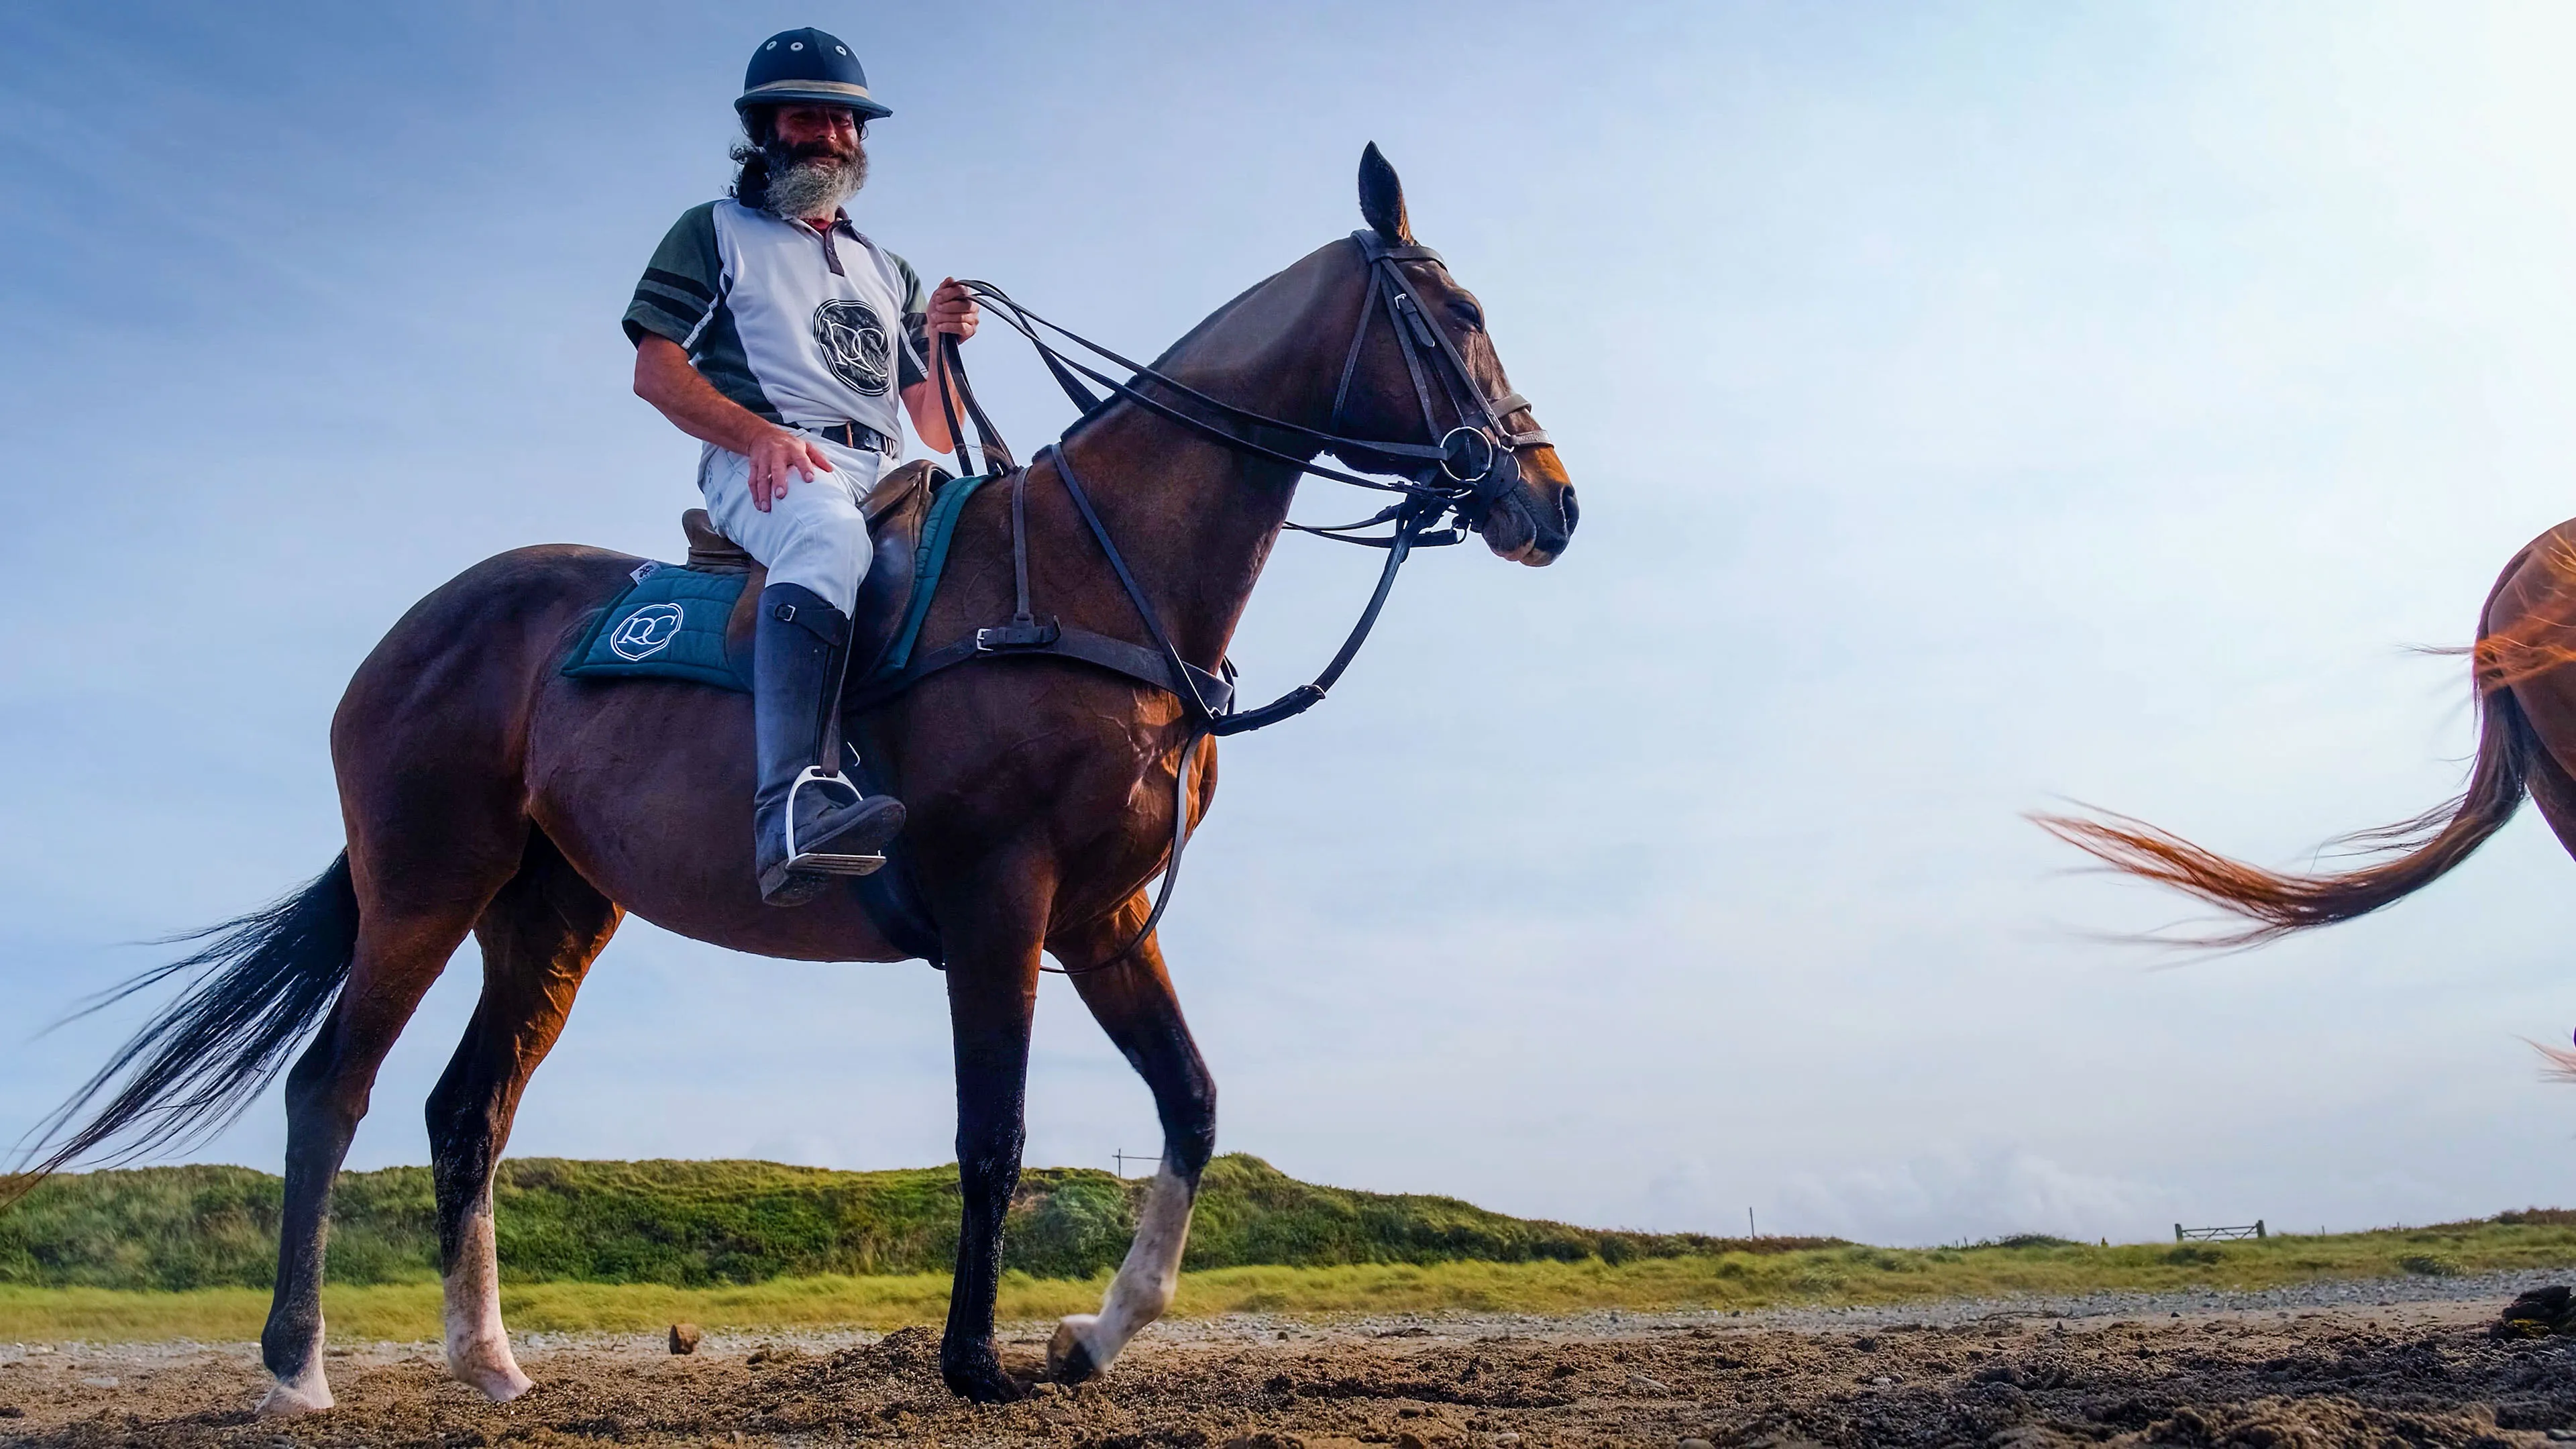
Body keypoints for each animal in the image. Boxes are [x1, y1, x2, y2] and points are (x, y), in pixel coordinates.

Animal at [6, 146, 1578, 1411]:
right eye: (1458, 314)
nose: (1552, 501)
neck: (1087, 570)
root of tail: (412, 631)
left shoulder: (1106, 919)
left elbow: (1189, 1105)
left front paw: (1093, 1336)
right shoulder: (1003, 905)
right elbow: (995, 1135)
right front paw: (976, 1362)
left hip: (550, 912)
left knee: (468, 1112)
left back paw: (489, 1362)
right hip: (424, 885)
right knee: (333, 1090)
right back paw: (295, 1368)